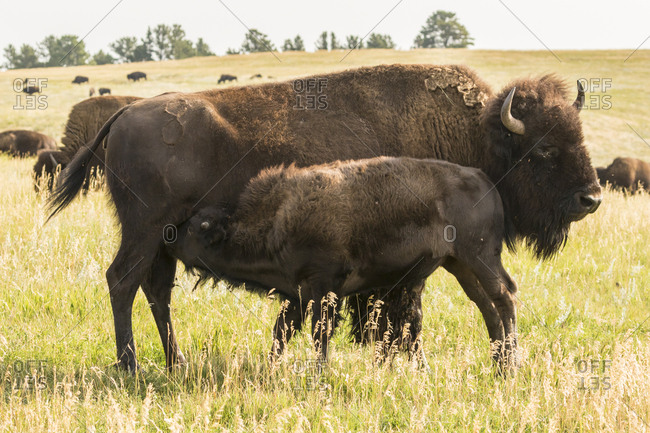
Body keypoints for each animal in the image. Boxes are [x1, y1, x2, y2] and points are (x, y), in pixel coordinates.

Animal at [166, 157, 519, 367]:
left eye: (199, 226)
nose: (170, 236)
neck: (278, 220)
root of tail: (484, 181)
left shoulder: (323, 289)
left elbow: (319, 336)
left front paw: (317, 376)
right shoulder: (298, 296)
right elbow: (280, 334)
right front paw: (271, 370)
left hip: (480, 258)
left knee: (504, 297)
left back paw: (511, 364)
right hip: (459, 264)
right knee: (486, 305)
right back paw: (498, 362)